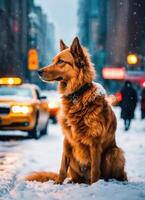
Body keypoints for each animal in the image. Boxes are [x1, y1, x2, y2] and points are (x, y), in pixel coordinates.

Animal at [25, 36, 127, 184]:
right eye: (53, 60)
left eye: (60, 61)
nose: (39, 71)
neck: (76, 95)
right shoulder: (67, 139)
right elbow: (62, 167)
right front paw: (58, 183)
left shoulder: (95, 142)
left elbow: (95, 170)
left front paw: (95, 186)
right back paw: (73, 181)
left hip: (115, 153)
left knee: (113, 173)